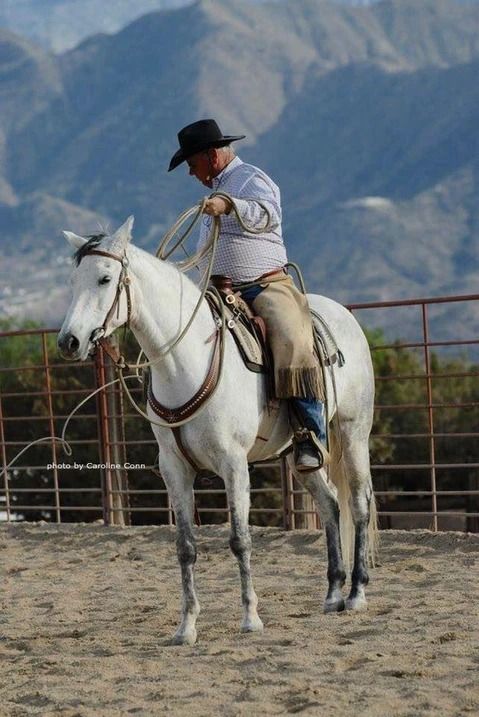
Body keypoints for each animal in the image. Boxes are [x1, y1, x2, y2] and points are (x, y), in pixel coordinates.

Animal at [57, 215, 378, 648]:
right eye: (73, 281)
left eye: (105, 278)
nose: (69, 341)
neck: (185, 361)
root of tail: (344, 316)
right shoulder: (174, 470)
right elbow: (185, 547)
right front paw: (186, 627)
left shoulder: (233, 464)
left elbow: (240, 540)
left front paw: (250, 618)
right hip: (301, 454)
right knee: (329, 503)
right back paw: (332, 594)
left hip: (353, 432)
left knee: (358, 503)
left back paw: (357, 593)